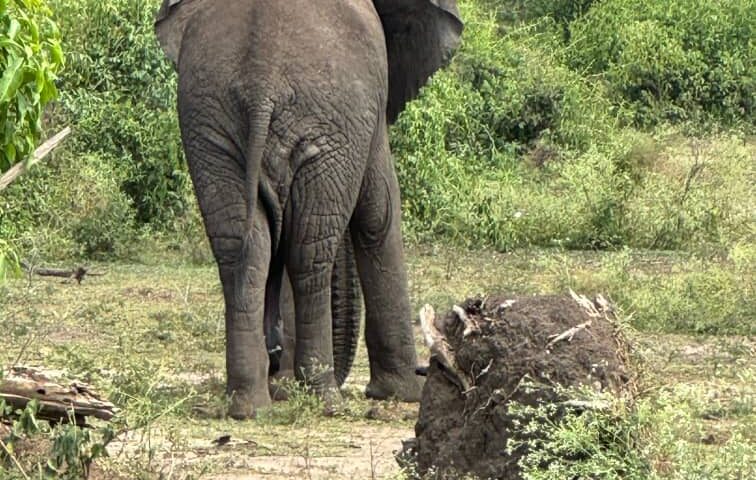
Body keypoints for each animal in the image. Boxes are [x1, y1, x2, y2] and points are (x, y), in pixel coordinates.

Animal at [154, 0, 462, 419]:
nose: (277, 361)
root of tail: (260, 83)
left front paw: (284, 388)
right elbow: (378, 214)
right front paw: (404, 392)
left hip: (210, 125)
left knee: (245, 251)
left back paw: (250, 406)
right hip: (323, 128)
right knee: (309, 253)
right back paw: (324, 399)